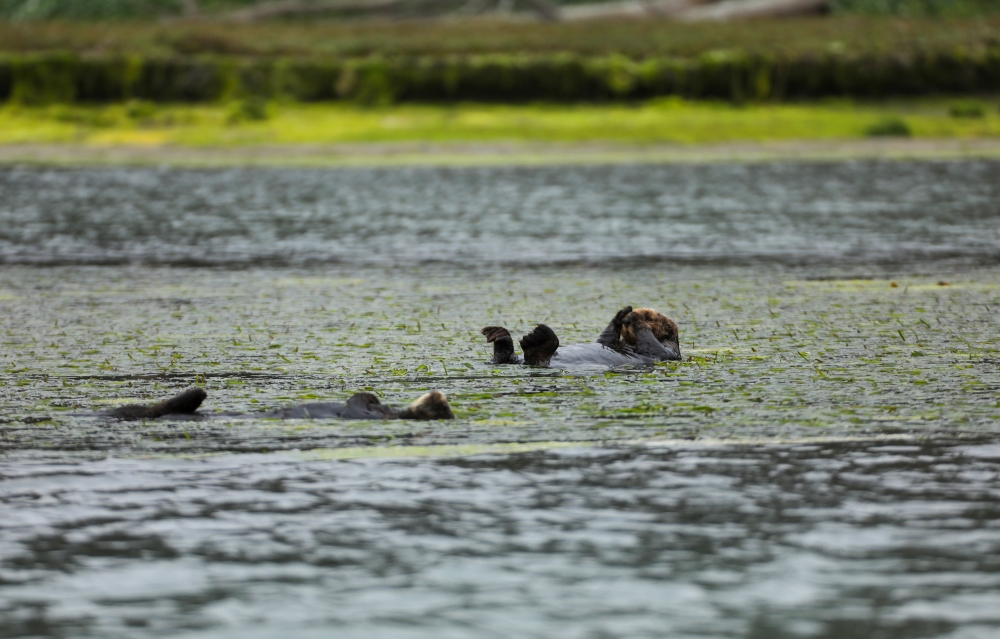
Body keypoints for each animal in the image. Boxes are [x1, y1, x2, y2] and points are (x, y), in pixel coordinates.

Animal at [482, 306, 680, 367]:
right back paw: (498, 334)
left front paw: (635, 318)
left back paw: (538, 340)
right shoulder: (607, 340)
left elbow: (653, 346)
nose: (627, 321)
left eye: (650, 318)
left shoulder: (666, 352)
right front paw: (623, 313)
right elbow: (605, 339)